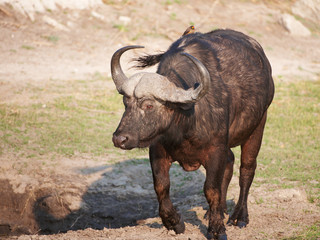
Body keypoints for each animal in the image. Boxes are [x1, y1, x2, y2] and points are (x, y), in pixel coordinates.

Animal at [110, 28, 276, 240]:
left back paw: (239, 216)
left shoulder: (215, 150)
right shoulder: (158, 150)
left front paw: (216, 229)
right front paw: (174, 222)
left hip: (258, 126)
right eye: (125, 103)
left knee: (247, 170)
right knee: (230, 162)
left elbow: (211, 189)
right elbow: (161, 186)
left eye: (148, 105)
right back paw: (218, 211)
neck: (186, 122)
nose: (120, 139)